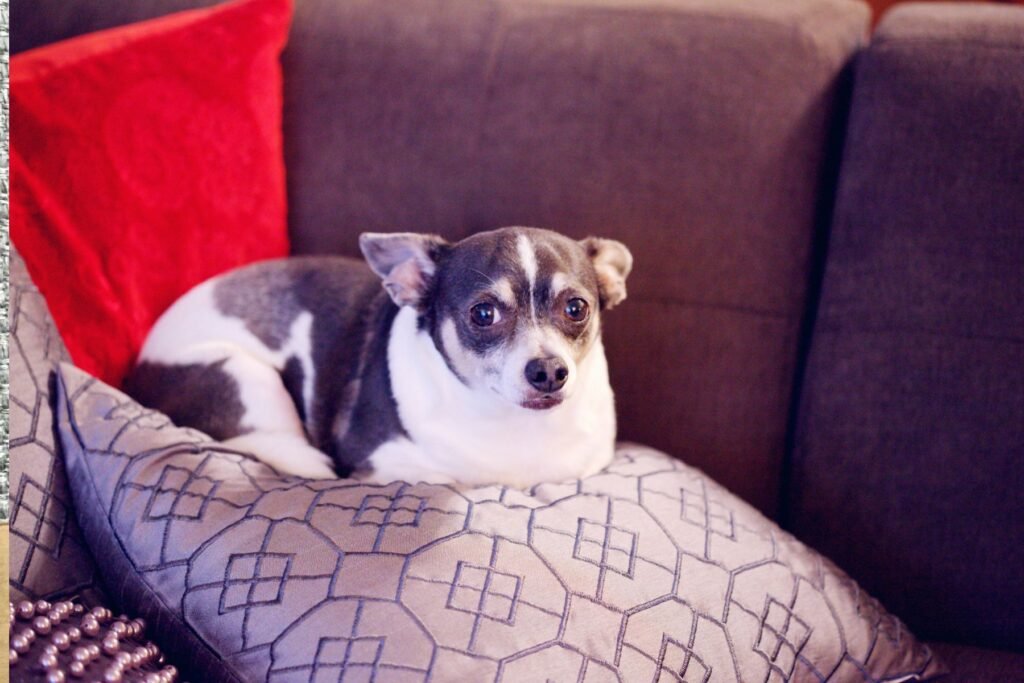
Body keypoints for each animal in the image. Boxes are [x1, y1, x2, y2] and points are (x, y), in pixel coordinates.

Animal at [123, 228, 626, 485]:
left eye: (576, 308)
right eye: (483, 313)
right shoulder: (386, 467)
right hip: (242, 375)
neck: (516, 426)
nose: (549, 370)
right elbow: (440, 477)